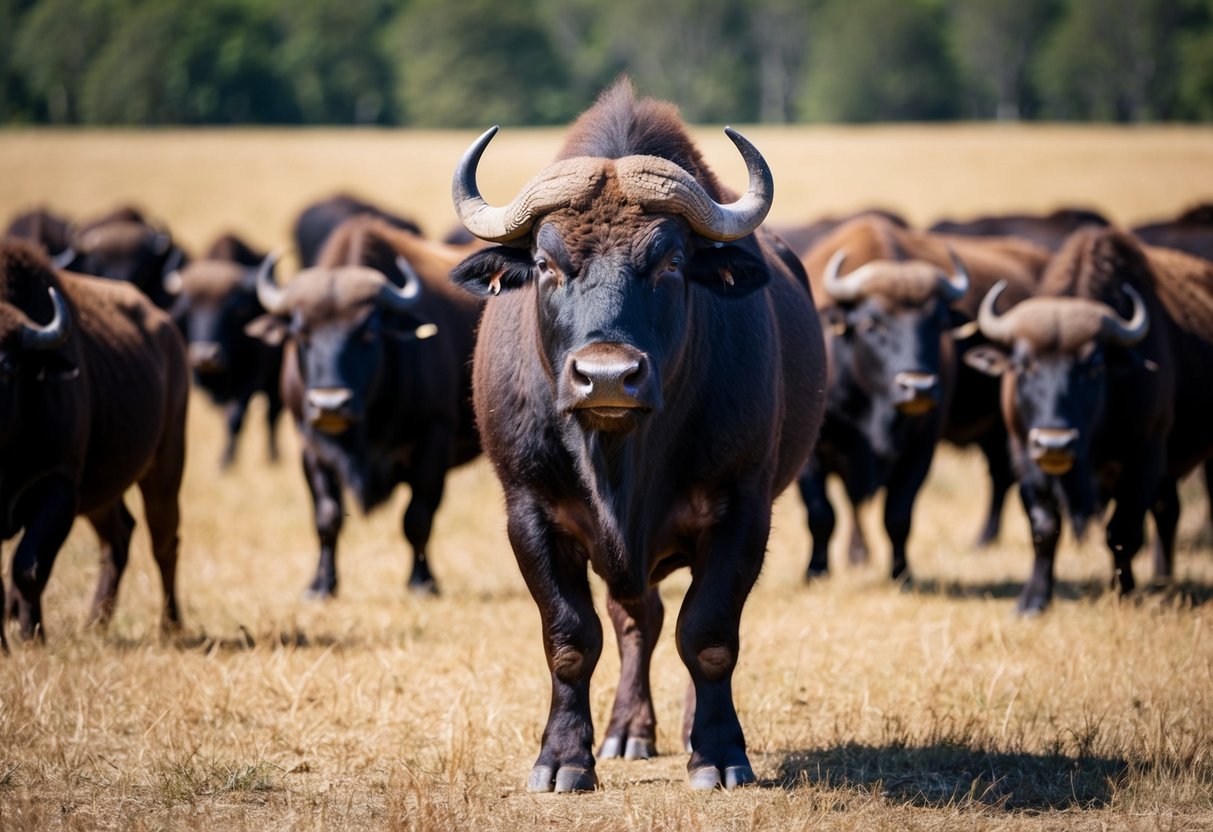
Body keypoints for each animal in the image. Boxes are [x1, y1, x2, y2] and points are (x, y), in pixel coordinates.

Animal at [1, 240, 189, 641]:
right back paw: (94, 622)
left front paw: (32, 635)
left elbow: (29, 566)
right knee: (118, 537)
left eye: (6, 366)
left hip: (165, 468)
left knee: (163, 542)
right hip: (101, 494)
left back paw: (170, 625)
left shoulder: (59, 487)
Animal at [447, 80, 826, 791]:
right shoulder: (529, 511)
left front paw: (719, 754)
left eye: (670, 261)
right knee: (637, 620)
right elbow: (571, 638)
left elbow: (708, 635)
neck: (619, 454)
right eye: (546, 262)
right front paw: (564, 759)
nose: (607, 376)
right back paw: (629, 730)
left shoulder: (742, 508)